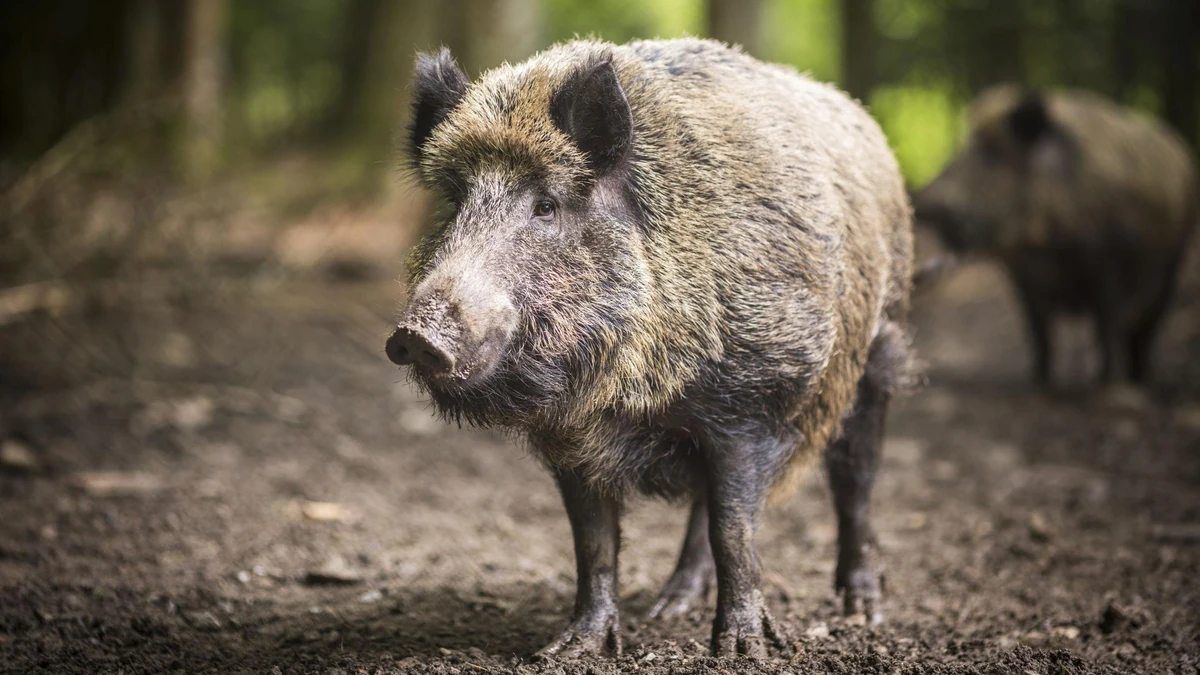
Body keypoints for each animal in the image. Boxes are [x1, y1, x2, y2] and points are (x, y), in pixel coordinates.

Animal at [386, 38, 915, 658]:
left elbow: (735, 529)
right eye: (456, 202)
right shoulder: (573, 439)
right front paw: (569, 650)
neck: (637, 395)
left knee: (856, 480)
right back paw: (671, 606)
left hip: (880, 351)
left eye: (547, 205)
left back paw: (864, 610)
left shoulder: (753, 401)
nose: (415, 335)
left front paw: (742, 651)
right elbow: (594, 542)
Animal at [913, 86, 1198, 386]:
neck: (1046, 241)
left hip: (1175, 259)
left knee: (1147, 326)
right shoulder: (1024, 279)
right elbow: (1039, 333)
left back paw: (1140, 379)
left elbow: (1105, 328)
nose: (918, 197)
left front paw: (1106, 384)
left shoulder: (1111, 266)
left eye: (993, 155)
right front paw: (1038, 381)